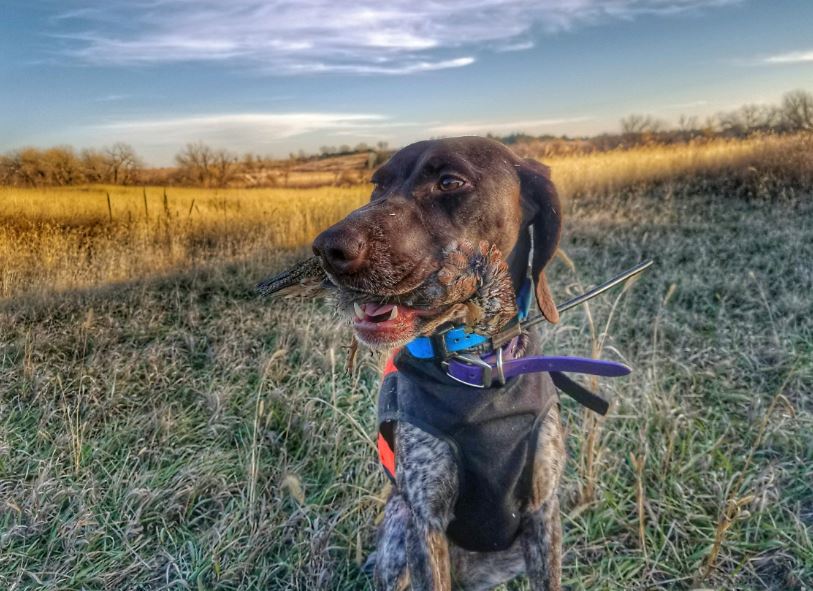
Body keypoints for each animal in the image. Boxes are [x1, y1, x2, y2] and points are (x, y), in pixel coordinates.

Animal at [308, 138, 576, 591]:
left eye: (450, 182)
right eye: (378, 185)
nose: (327, 249)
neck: (479, 366)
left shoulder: (543, 511)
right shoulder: (425, 519)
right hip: (399, 532)